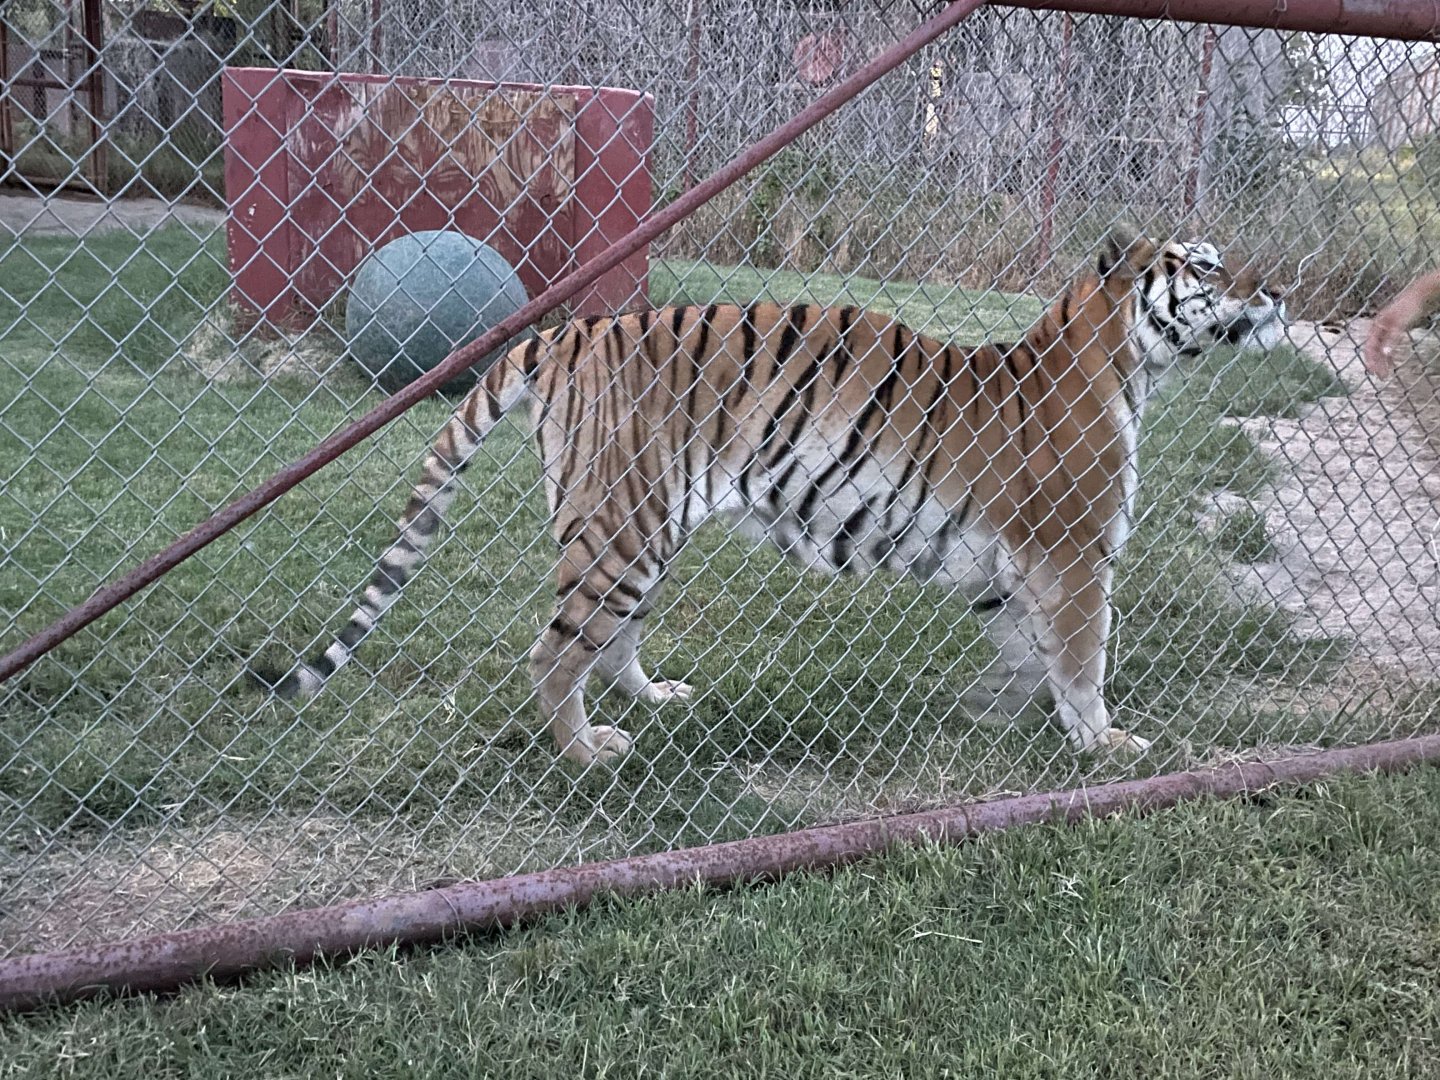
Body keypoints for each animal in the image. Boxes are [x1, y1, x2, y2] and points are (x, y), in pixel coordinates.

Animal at [253, 228, 1286, 766]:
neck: (1125, 361)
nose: (1279, 287)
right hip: (620, 531)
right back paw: (588, 751)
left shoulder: (1009, 568)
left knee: (607, 643)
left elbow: (1031, 656)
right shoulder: (1074, 553)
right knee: (552, 654)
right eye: (1203, 264)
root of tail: (572, 330)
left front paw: (1009, 713)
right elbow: (1081, 661)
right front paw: (1106, 745)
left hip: (643, 532)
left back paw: (652, 696)